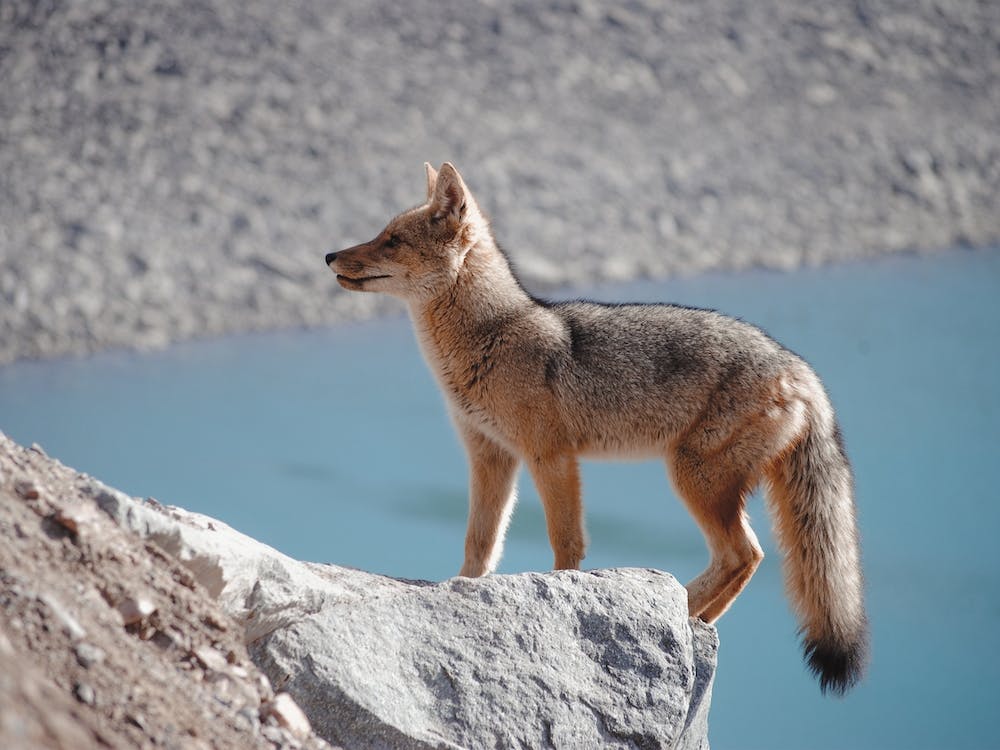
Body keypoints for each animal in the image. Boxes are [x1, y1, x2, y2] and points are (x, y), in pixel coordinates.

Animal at [325, 162, 868, 694]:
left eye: (392, 240)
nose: (330, 255)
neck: (493, 334)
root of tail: (799, 368)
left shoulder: (551, 457)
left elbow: (565, 542)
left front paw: (563, 605)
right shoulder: (490, 457)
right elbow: (480, 542)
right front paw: (458, 592)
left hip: (693, 479)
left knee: (743, 555)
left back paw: (679, 612)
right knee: (746, 558)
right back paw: (695, 618)